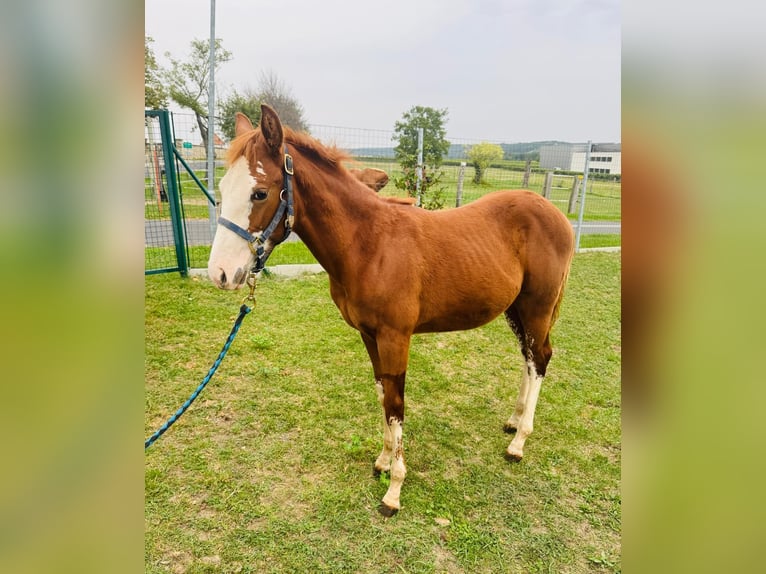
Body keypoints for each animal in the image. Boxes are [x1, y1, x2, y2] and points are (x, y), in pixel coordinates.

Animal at [208, 104, 574, 516]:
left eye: (260, 192)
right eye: (223, 188)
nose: (220, 273)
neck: (370, 245)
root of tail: (555, 213)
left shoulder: (396, 337)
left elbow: (396, 402)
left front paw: (394, 491)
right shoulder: (370, 336)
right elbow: (382, 394)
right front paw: (382, 462)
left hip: (538, 307)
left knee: (539, 359)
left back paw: (518, 442)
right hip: (517, 310)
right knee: (527, 357)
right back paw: (513, 421)